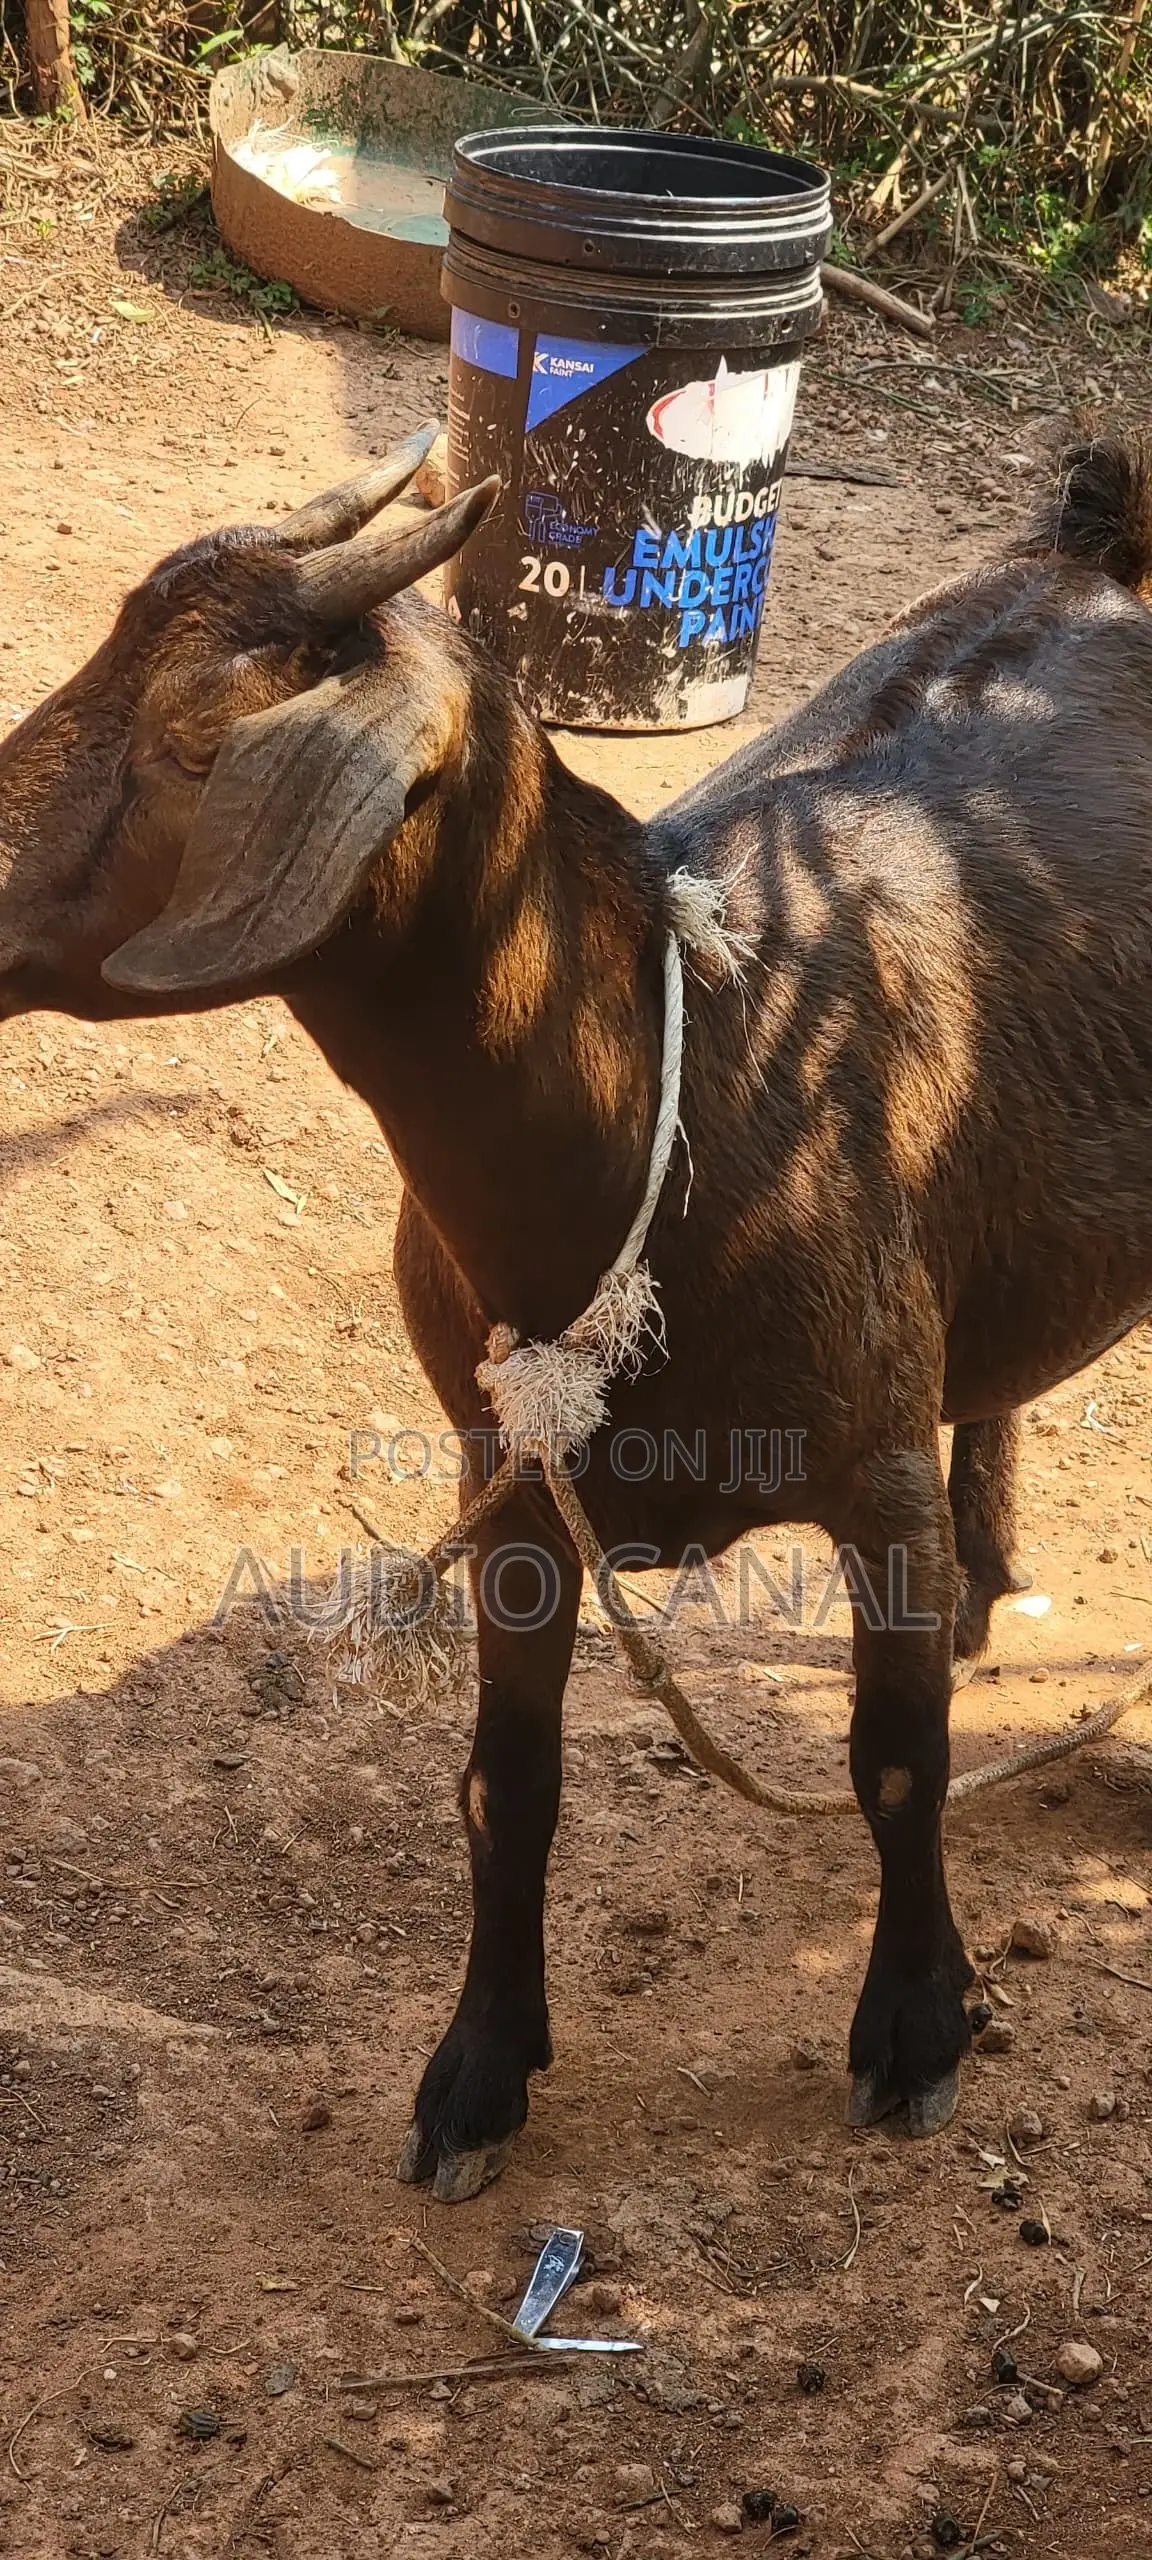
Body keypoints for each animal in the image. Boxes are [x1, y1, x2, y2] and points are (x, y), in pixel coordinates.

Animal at [2, 420, 1151, 2198]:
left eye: (197, 739)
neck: (694, 1080)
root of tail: (1111, 544)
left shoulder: (874, 1469)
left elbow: (899, 1766)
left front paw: (916, 2027)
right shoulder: (518, 1487)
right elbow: (505, 1788)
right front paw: (479, 2070)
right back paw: (993, 1569)